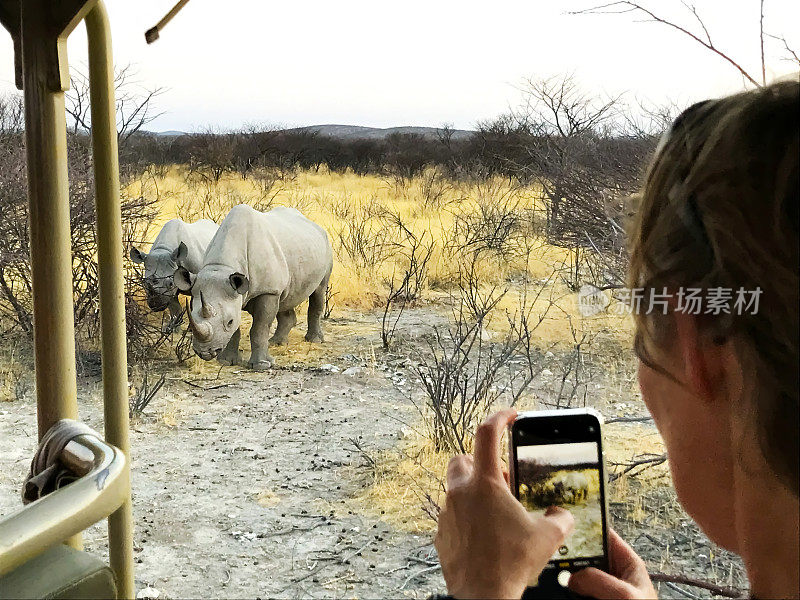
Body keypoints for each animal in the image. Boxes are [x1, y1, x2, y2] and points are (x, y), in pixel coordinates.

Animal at [177, 204, 332, 368]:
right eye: (192, 316)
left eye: (229, 322)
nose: (205, 353)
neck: (221, 267)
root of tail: (315, 225)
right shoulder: (236, 293)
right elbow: (236, 331)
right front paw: (227, 361)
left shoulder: (267, 291)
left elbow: (259, 328)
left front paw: (261, 365)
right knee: (286, 296)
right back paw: (276, 343)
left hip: (326, 246)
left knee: (319, 291)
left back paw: (314, 340)